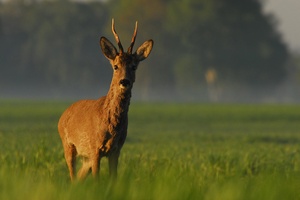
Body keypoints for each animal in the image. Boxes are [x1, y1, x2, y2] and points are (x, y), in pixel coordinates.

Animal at [57, 19, 154, 181]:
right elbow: (97, 179)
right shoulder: (95, 148)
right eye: (115, 66)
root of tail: (63, 114)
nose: (124, 81)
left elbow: (113, 178)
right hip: (68, 145)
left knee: (79, 178)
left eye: (134, 66)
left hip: (86, 158)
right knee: (72, 176)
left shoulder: (116, 150)